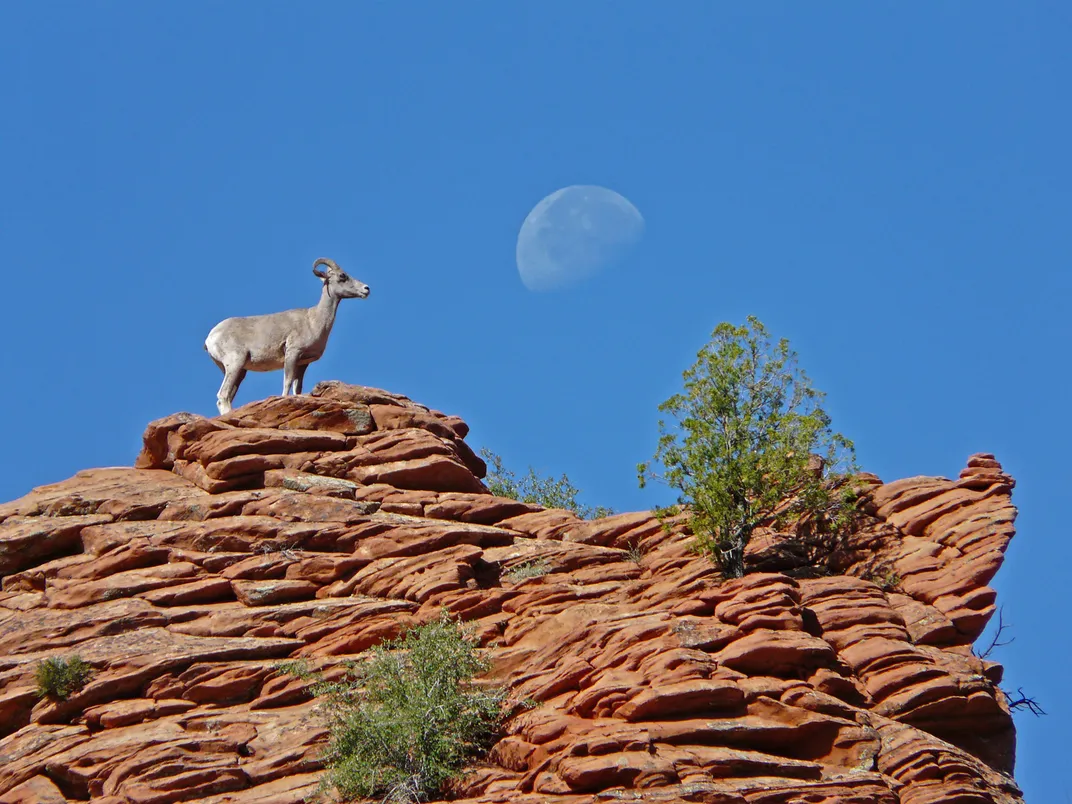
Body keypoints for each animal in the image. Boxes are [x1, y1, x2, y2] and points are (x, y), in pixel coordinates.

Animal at [205, 258, 373, 415]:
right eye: (342, 276)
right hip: (235, 363)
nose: (366, 289)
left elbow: (297, 388)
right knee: (223, 396)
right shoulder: (292, 354)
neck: (314, 320)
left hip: (240, 371)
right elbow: (287, 383)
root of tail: (210, 338)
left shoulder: (303, 363)